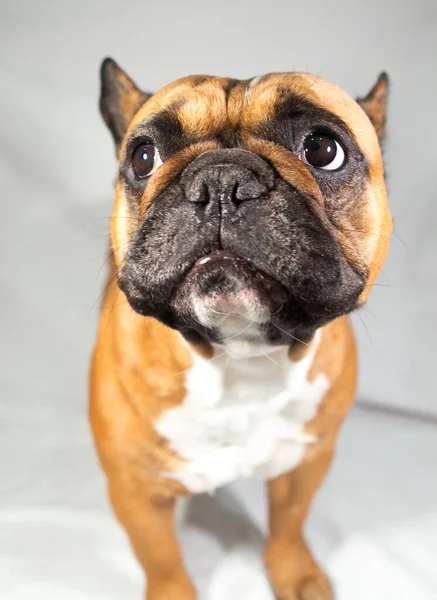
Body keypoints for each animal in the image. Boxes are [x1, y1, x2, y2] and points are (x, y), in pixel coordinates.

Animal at [90, 57, 390, 600]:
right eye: (143, 157)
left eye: (323, 149)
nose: (220, 183)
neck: (240, 357)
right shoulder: (136, 492)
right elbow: (161, 559)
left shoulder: (305, 463)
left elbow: (290, 522)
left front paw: (296, 574)